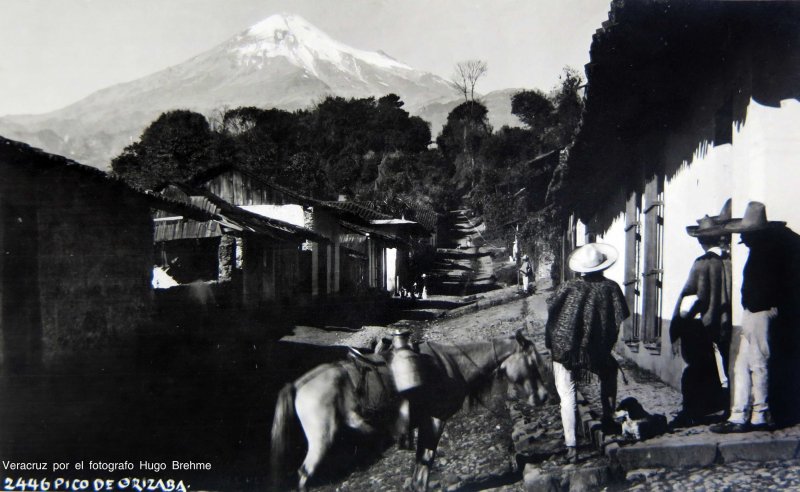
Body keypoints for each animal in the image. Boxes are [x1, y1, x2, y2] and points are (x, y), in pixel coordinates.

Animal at [268, 328, 552, 490]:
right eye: (532, 361)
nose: (544, 396)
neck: (450, 365)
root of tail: (300, 383)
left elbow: (420, 464)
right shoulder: (435, 421)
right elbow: (425, 462)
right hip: (321, 439)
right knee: (304, 475)